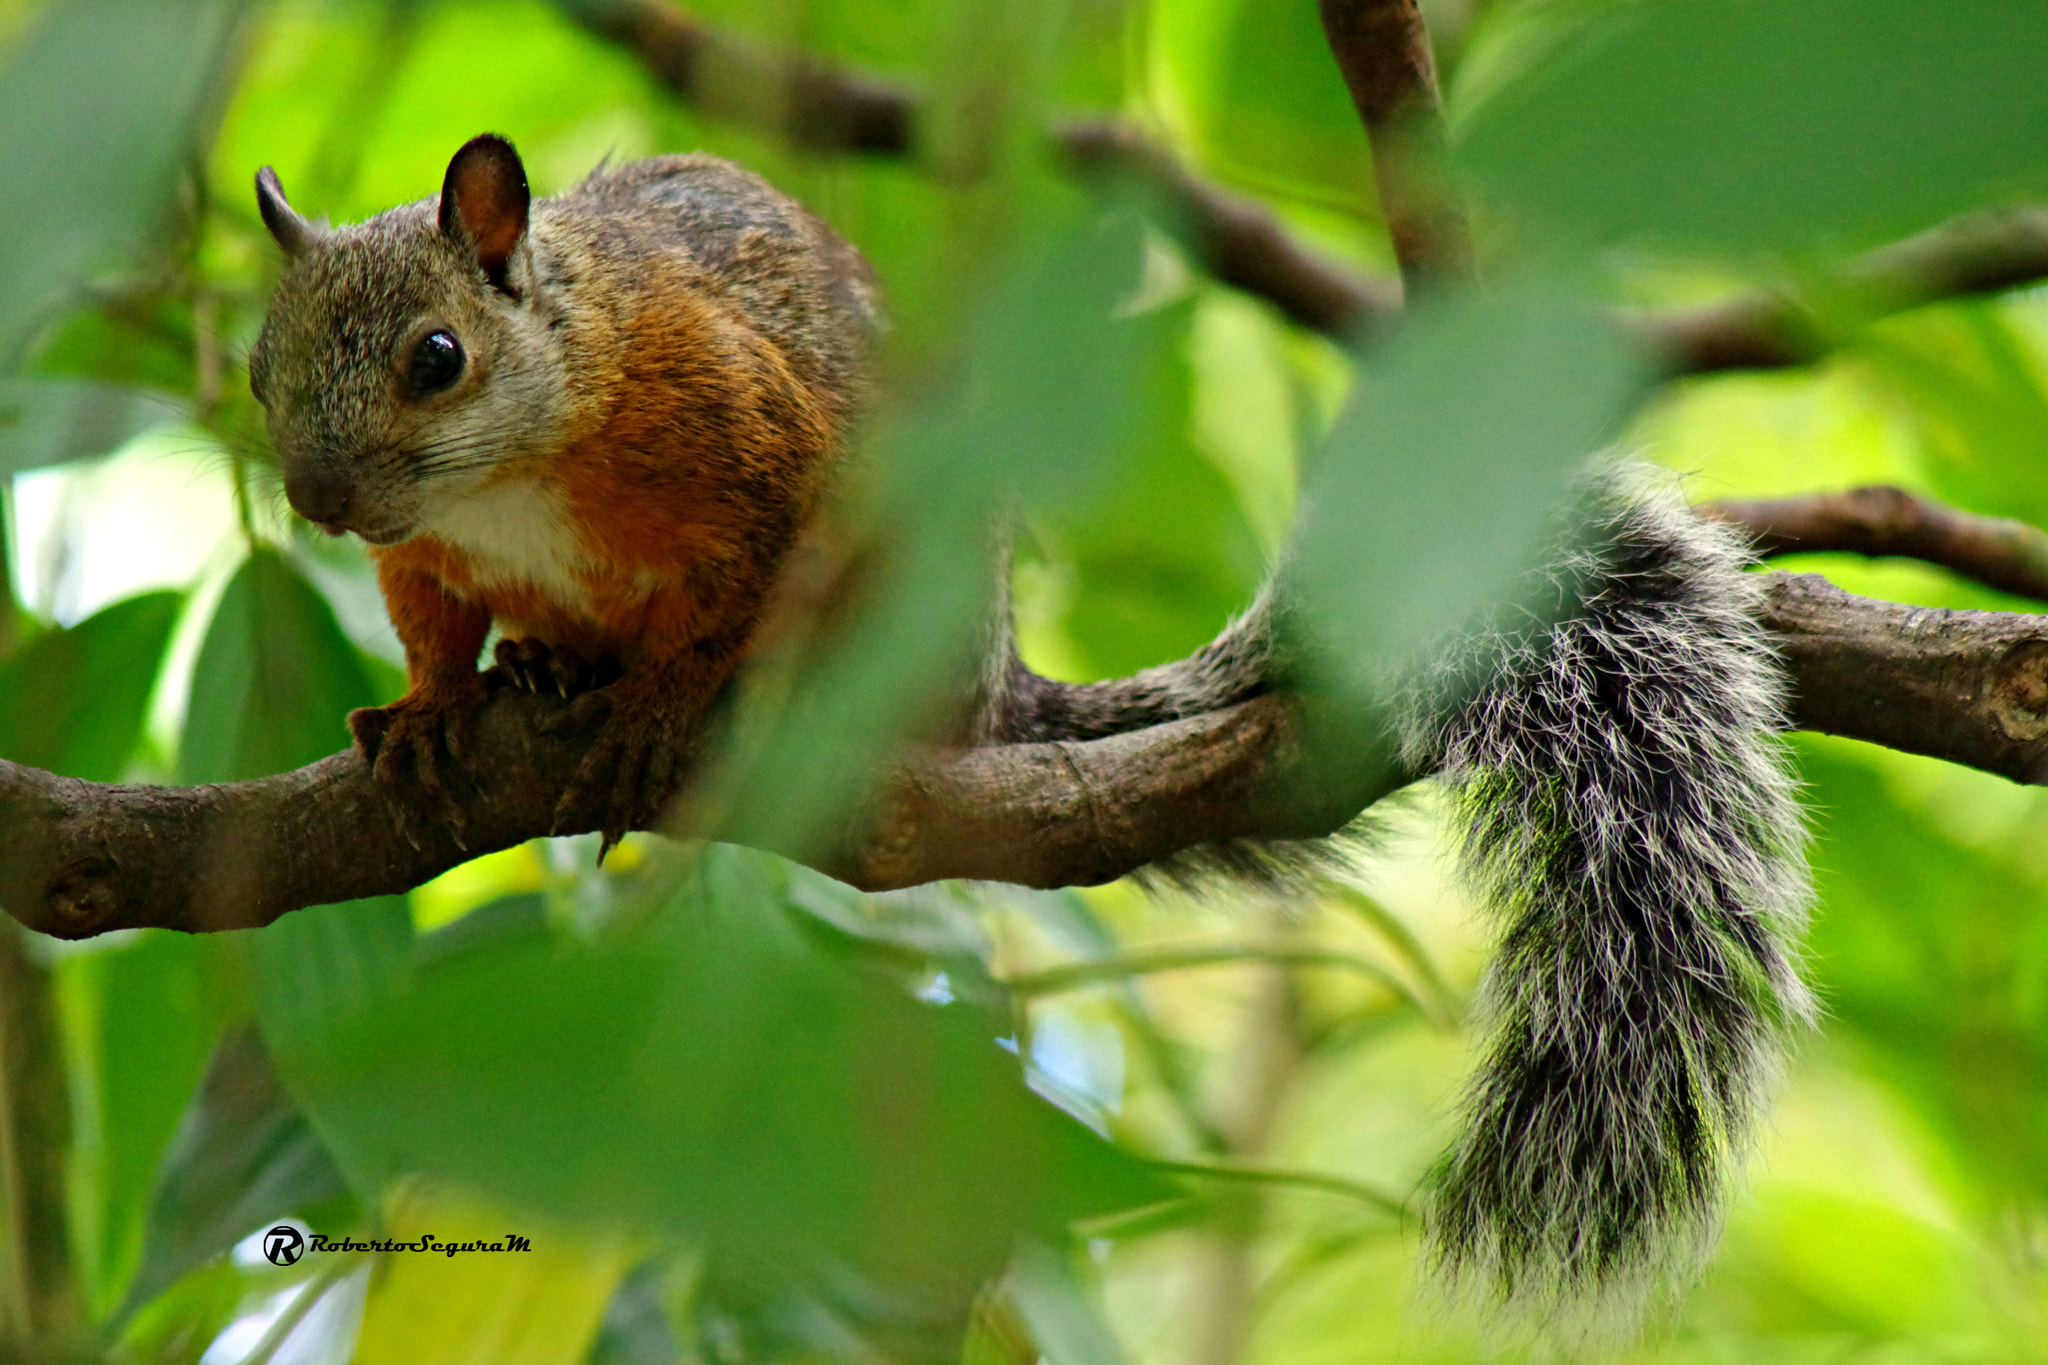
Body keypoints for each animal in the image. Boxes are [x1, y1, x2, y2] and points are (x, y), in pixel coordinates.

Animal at [245, 136, 872, 843]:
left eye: (439, 356)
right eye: (259, 373)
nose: (315, 499)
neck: (497, 490)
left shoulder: (765, 456)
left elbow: (709, 627)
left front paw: (648, 714)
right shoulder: (419, 556)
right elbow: (433, 630)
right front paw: (428, 709)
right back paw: (545, 662)